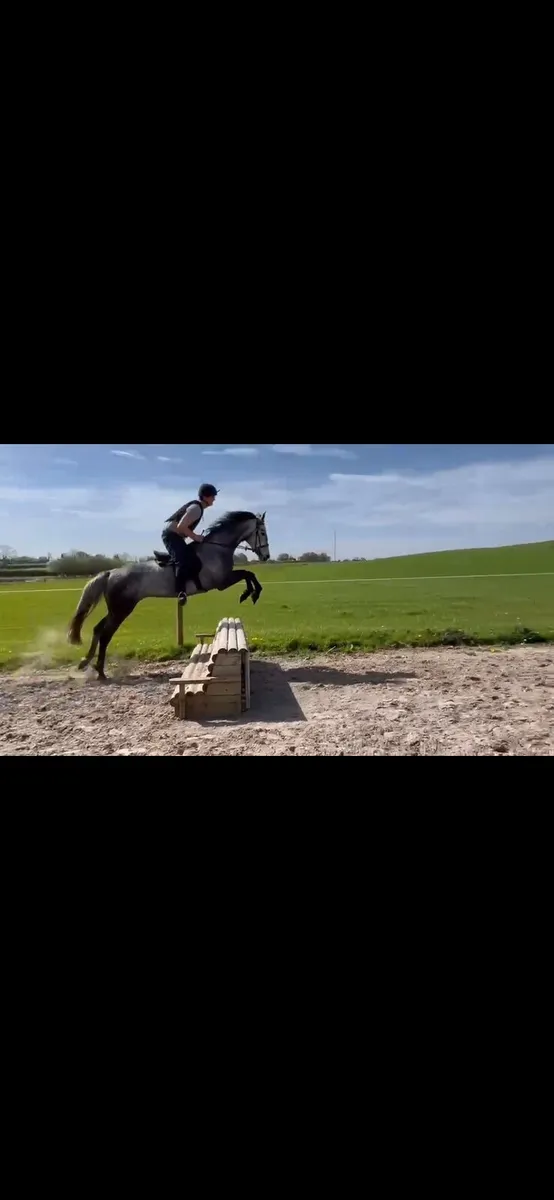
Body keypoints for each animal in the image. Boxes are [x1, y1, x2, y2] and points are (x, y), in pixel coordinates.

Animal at [67, 511, 270, 680]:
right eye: (262, 532)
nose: (266, 557)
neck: (216, 549)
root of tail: (111, 573)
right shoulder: (221, 582)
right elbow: (248, 574)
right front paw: (251, 594)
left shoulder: (224, 580)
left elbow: (249, 574)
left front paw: (250, 593)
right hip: (121, 609)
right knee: (105, 635)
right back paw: (100, 671)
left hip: (116, 609)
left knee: (97, 629)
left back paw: (86, 662)